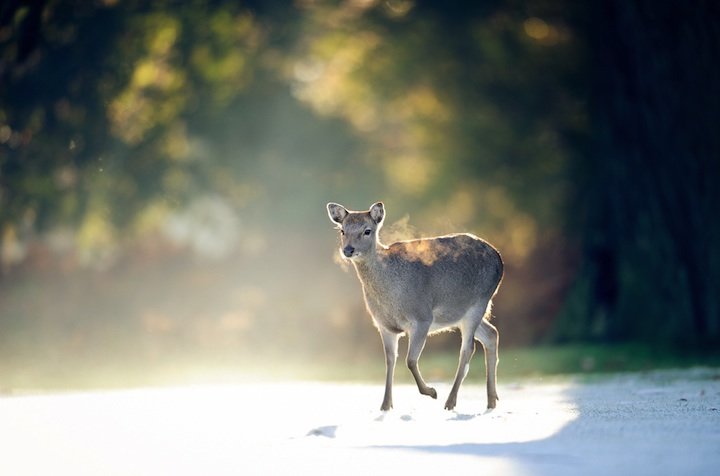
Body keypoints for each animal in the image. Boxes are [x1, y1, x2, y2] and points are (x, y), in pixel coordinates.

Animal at [330, 201, 504, 410]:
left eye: (367, 230)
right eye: (342, 230)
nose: (348, 250)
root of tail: (500, 259)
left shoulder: (422, 317)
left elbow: (410, 360)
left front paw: (432, 391)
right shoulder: (384, 325)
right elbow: (390, 361)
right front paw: (385, 405)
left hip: (479, 302)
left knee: (468, 348)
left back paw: (450, 401)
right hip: (461, 315)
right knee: (491, 333)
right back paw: (492, 401)